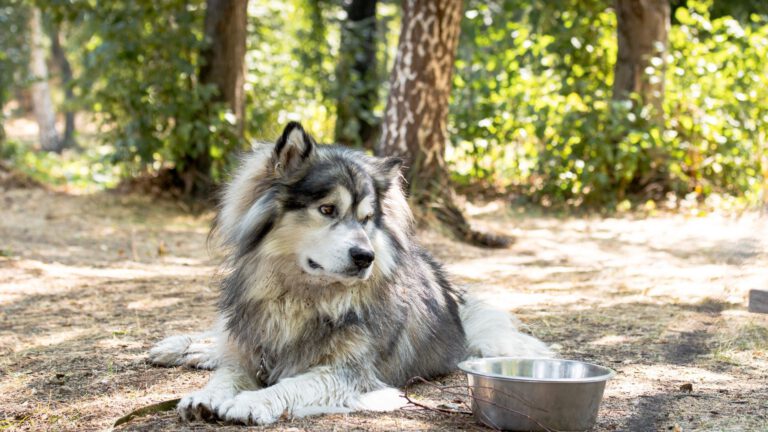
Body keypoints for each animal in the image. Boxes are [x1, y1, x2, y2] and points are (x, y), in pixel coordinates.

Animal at [148, 122, 552, 426]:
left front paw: (251, 401)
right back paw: (182, 347)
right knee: (220, 339)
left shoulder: (353, 376)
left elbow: (290, 385)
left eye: (367, 218)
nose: (364, 257)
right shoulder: (253, 348)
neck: (300, 297)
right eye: (327, 209)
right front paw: (206, 395)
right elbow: (228, 373)